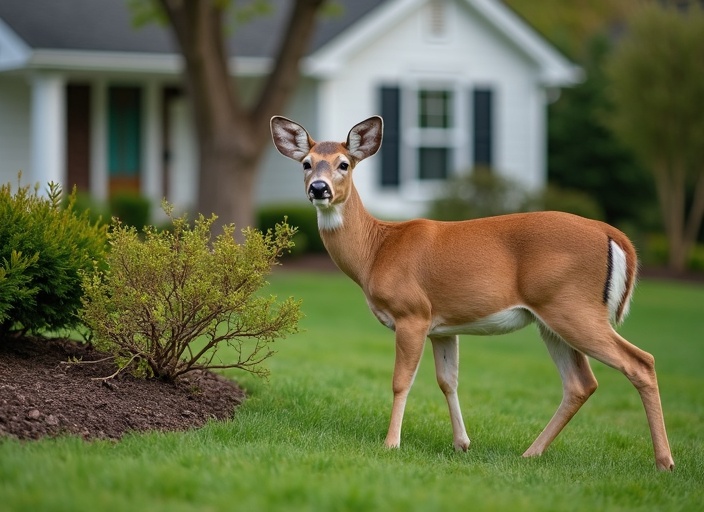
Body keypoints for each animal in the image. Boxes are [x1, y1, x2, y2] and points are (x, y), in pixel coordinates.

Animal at [270, 115, 675, 471]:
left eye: (344, 164)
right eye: (306, 164)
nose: (318, 188)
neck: (377, 250)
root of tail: (614, 234)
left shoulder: (412, 313)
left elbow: (402, 381)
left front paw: (391, 443)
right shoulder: (442, 327)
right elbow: (447, 381)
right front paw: (462, 443)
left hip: (572, 306)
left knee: (640, 362)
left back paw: (664, 462)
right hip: (552, 318)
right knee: (581, 383)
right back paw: (531, 453)